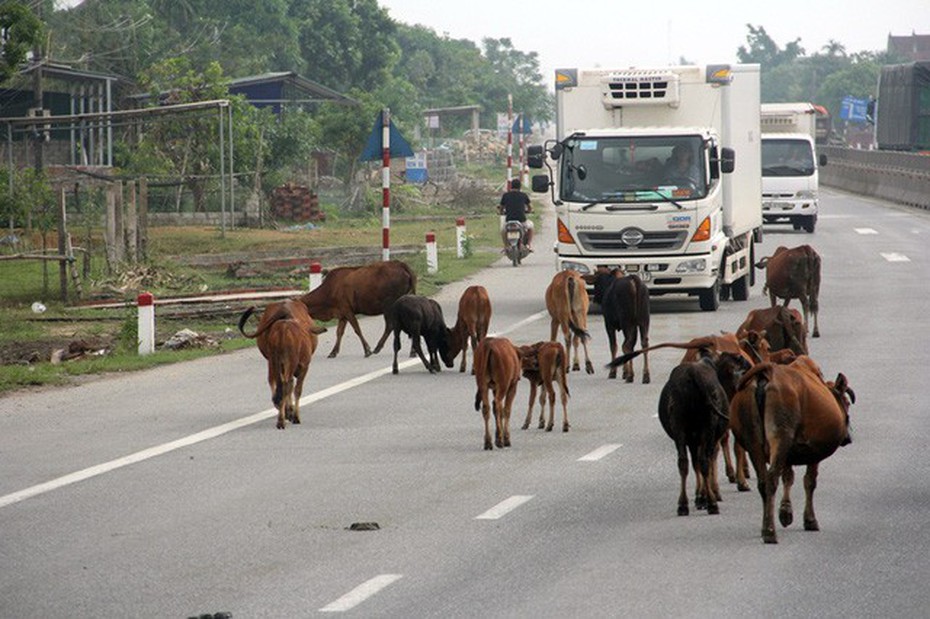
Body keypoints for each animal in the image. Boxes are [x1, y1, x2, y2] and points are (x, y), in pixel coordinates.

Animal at [237, 302, 324, 432]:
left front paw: (288, 411)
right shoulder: (304, 366)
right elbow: (297, 390)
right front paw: (295, 416)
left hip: (274, 361)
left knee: (277, 383)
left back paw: (280, 415)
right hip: (288, 362)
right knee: (286, 384)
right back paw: (283, 419)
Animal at [728, 356, 852, 544]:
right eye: (847, 402)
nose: (848, 437)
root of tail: (769, 372)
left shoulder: (787, 455)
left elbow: (788, 477)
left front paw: (785, 513)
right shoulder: (813, 453)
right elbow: (809, 482)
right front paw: (810, 520)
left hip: (754, 444)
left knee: (763, 482)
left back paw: (765, 527)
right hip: (781, 437)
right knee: (772, 478)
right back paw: (770, 532)